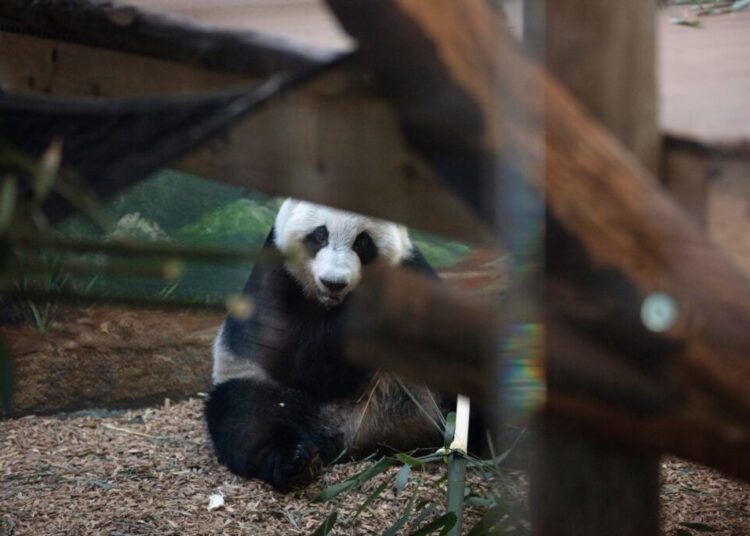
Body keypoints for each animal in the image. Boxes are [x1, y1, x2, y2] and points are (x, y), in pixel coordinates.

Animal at [204, 198, 446, 491]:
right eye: (320, 235)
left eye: (363, 242)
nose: (333, 283)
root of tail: (356, 438)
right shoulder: (276, 276)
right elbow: (303, 361)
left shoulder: (411, 269)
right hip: (266, 390)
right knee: (246, 417)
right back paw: (295, 461)